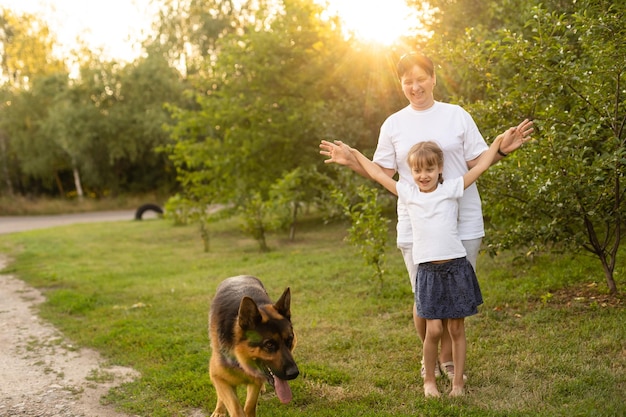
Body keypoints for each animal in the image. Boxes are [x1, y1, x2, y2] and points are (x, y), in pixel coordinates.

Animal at [208, 274, 298, 414]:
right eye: (269, 345)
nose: (294, 373)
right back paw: (219, 410)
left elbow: (250, 405)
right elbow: (235, 408)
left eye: (289, 340)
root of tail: (238, 276)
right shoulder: (218, 377)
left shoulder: (254, 381)